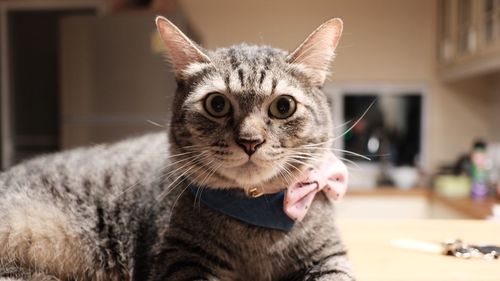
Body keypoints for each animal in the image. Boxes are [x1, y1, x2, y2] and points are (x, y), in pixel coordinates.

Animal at [0, 15, 354, 280]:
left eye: (283, 107)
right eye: (216, 104)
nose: (250, 141)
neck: (255, 217)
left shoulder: (329, 256)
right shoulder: (179, 259)